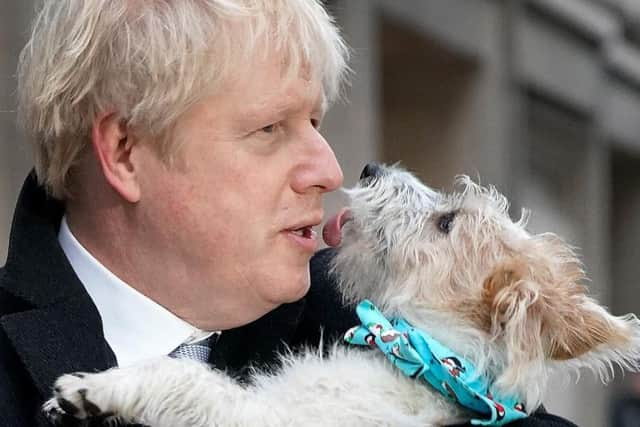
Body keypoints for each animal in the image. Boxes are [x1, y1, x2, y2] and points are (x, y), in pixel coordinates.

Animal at [45, 166, 640, 426]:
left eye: (447, 223)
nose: (370, 167)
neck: (427, 358)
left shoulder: (268, 421)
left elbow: (190, 379)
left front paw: (97, 388)